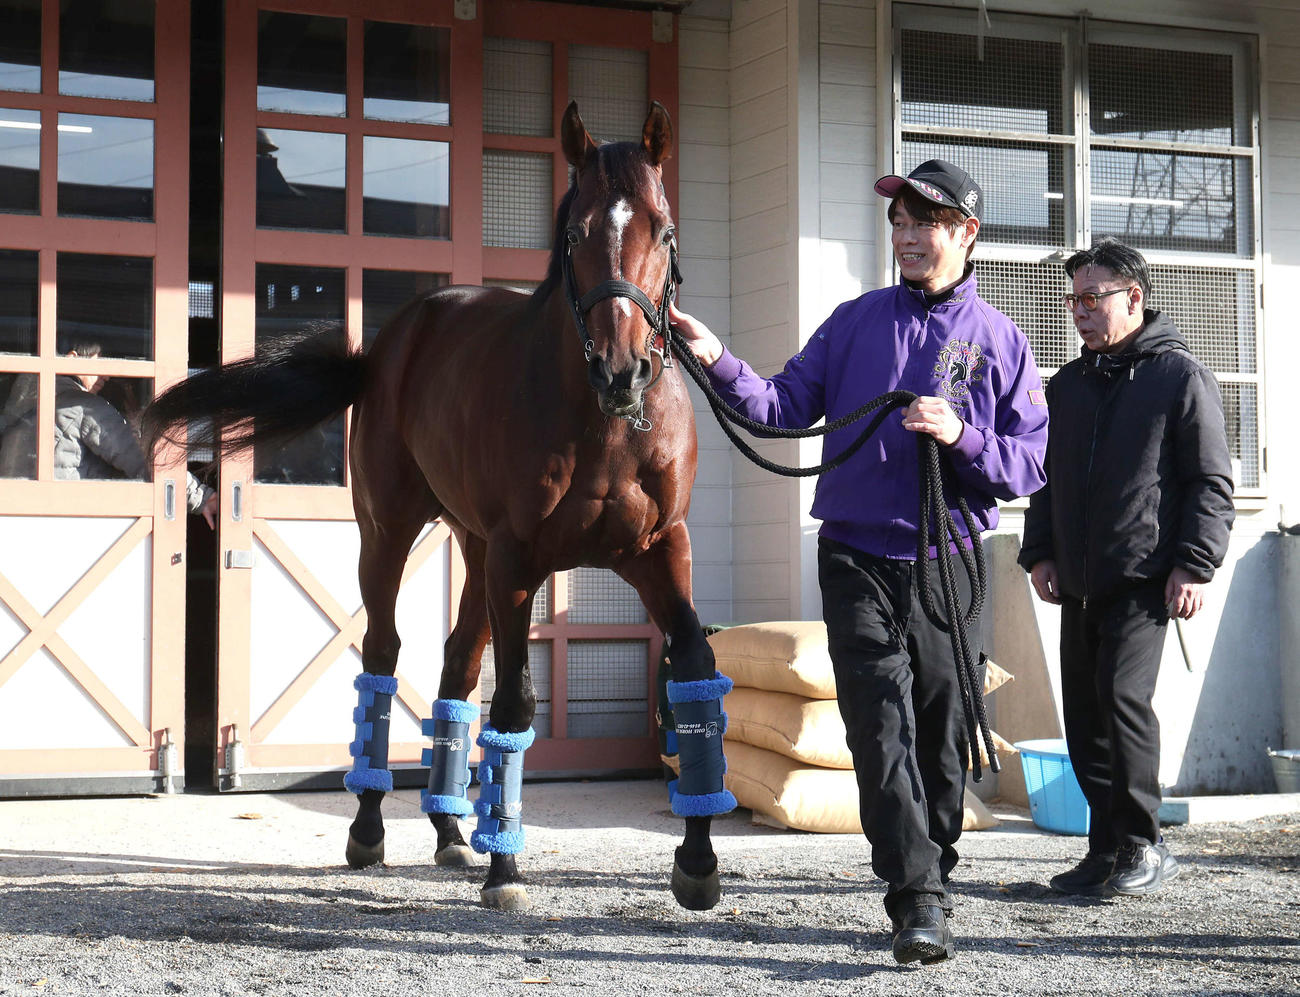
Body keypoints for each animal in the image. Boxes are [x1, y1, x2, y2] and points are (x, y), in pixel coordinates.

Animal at [144, 101, 734, 914]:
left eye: (665, 231)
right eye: (576, 233)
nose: (621, 370)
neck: (606, 426)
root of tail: (387, 345)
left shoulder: (658, 550)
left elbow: (694, 668)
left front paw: (699, 859)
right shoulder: (520, 561)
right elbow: (514, 704)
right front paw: (506, 870)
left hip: (476, 551)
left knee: (457, 663)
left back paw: (453, 831)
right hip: (391, 535)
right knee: (383, 654)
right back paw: (372, 831)